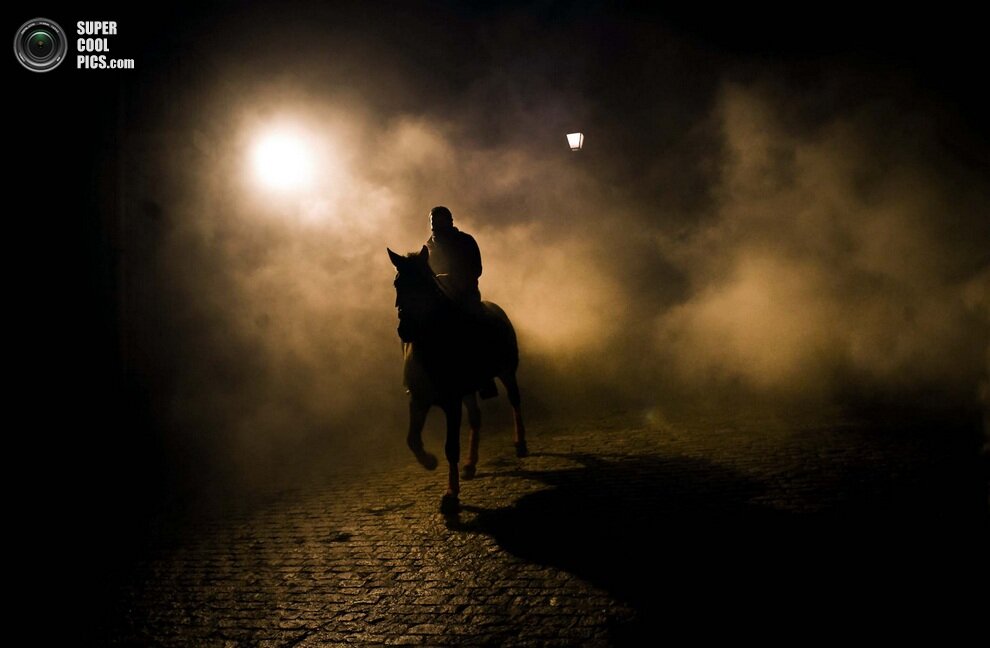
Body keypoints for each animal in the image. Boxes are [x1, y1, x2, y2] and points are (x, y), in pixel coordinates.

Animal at [387, 245, 528, 514]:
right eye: (397, 283)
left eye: (425, 282)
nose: (405, 329)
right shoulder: (418, 400)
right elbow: (412, 439)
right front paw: (429, 462)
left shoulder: (451, 403)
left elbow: (451, 448)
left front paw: (451, 495)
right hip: (469, 391)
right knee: (476, 417)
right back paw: (471, 465)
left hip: (507, 372)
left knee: (515, 401)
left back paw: (521, 445)